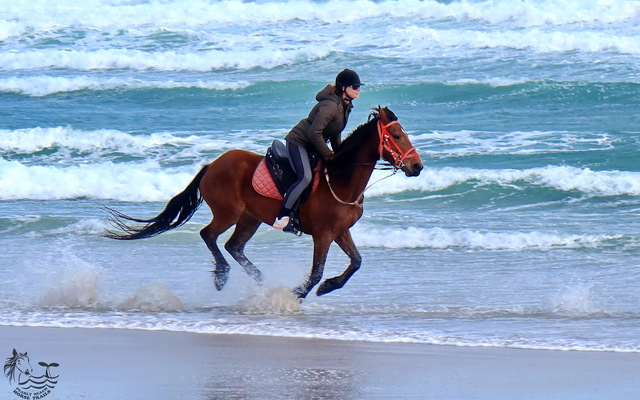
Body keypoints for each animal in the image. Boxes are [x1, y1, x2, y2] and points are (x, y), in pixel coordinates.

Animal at [105, 106, 423, 299]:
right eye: (396, 135)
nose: (417, 166)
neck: (340, 180)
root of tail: (212, 165)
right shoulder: (323, 234)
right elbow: (316, 271)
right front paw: (298, 293)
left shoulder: (340, 231)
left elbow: (356, 262)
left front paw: (328, 287)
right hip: (229, 213)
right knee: (209, 235)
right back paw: (222, 277)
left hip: (251, 217)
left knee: (234, 246)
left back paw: (259, 280)